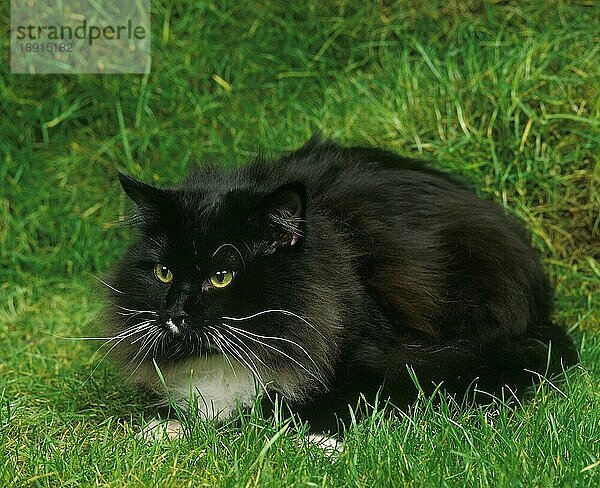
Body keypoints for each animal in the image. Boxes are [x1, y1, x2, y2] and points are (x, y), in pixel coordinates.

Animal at [105, 134, 580, 438]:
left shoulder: (385, 361)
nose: (174, 314)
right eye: (164, 273)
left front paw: (314, 439)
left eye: (221, 277)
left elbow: (301, 408)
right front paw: (164, 427)